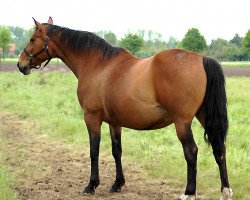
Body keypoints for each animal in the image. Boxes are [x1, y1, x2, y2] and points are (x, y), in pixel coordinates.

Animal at [17, 17, 232, 200]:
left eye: (32, 39)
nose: (21, 64)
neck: (98, 65)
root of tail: (202, 58)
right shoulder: (114, 122)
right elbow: (116, 151)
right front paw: (117, 183)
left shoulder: (91, 117)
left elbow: (94, 150)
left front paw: (91, 185)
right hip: (204, 116)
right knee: (219, 149)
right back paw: (225, 191)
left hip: (182, 122)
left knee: (191, 151)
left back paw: (189, 192)